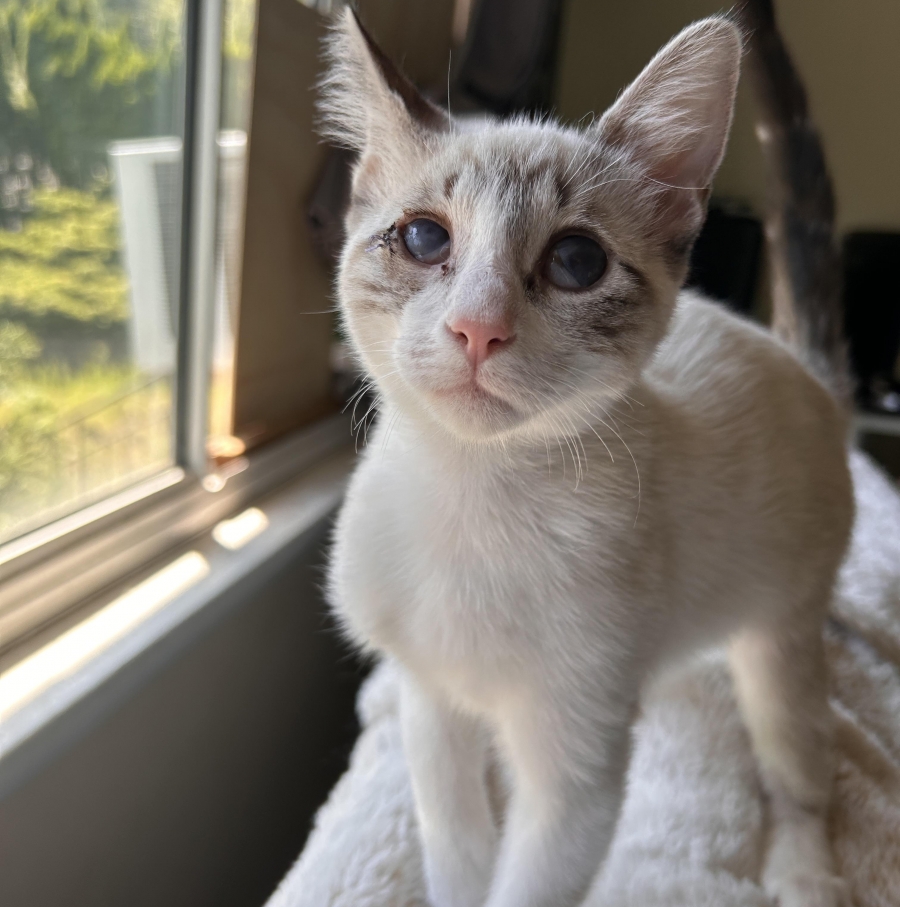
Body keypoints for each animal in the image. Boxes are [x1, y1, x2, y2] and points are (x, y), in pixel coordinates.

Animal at [321, 8, 853, 907]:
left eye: (577, 261)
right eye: (423, 238)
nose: (478, 327)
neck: (473, 495)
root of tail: (803, 366)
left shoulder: (577, 768)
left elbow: (526, 880)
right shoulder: (436, 699)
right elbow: (455, 844)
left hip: (781, 635)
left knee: (801, 764)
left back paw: (805, 867)